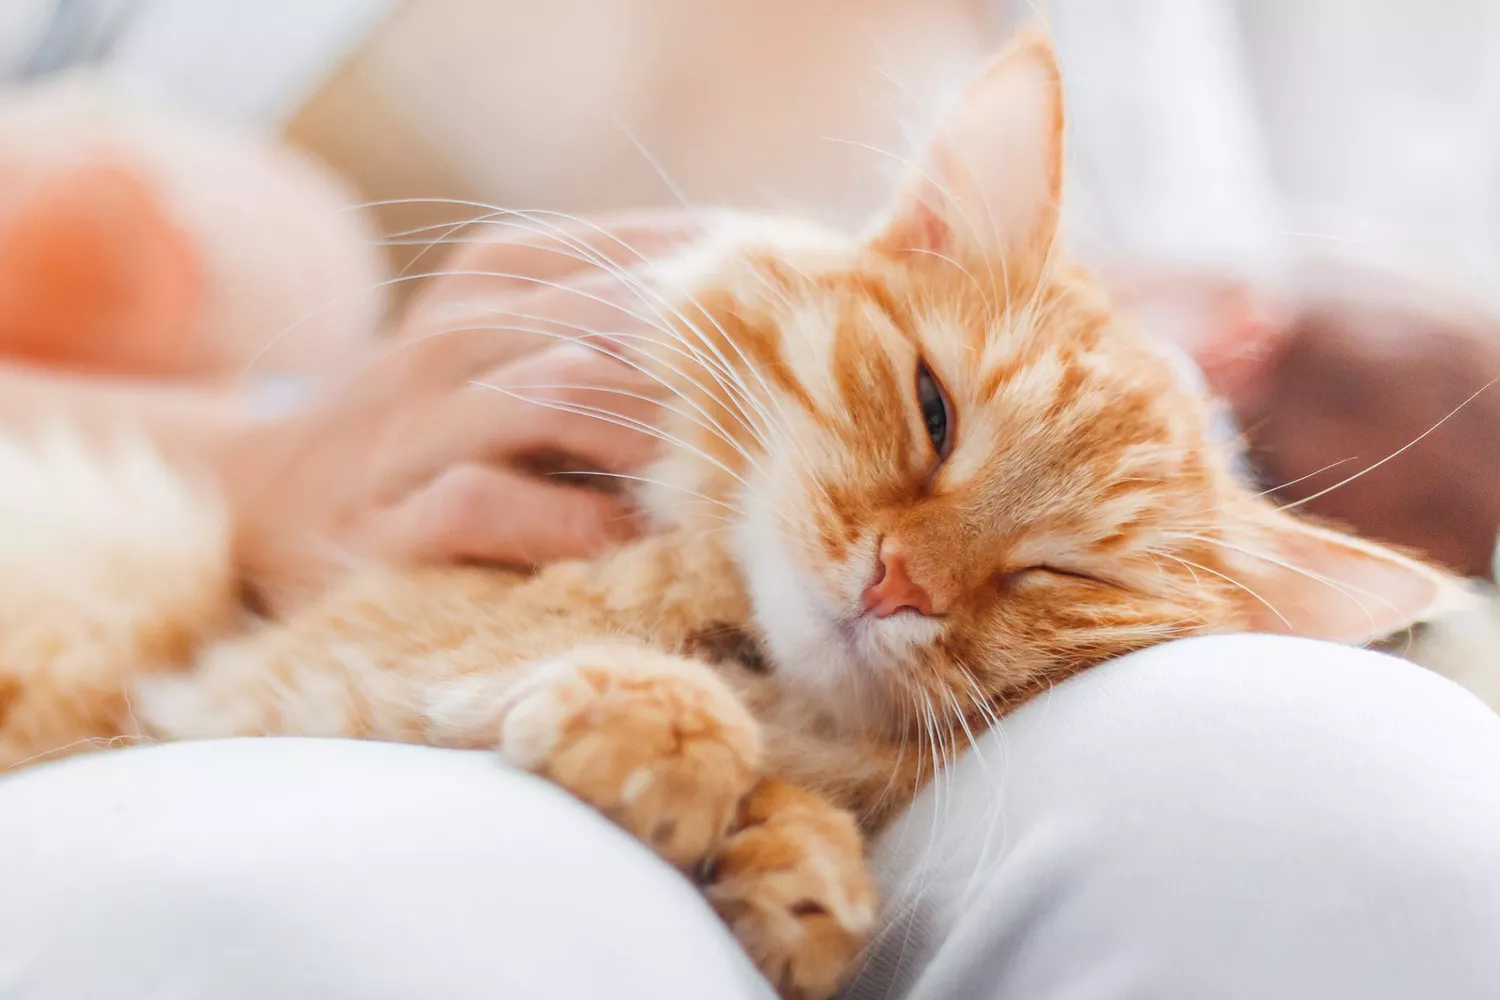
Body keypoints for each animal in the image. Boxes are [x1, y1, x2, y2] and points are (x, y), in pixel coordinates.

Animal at [0, 31, 1464, 1000]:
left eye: (1059, 576)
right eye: (934, 413)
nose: (896, 582)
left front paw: (797, 885)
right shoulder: (309, 663)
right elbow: (557, 663)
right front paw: (669, 744)